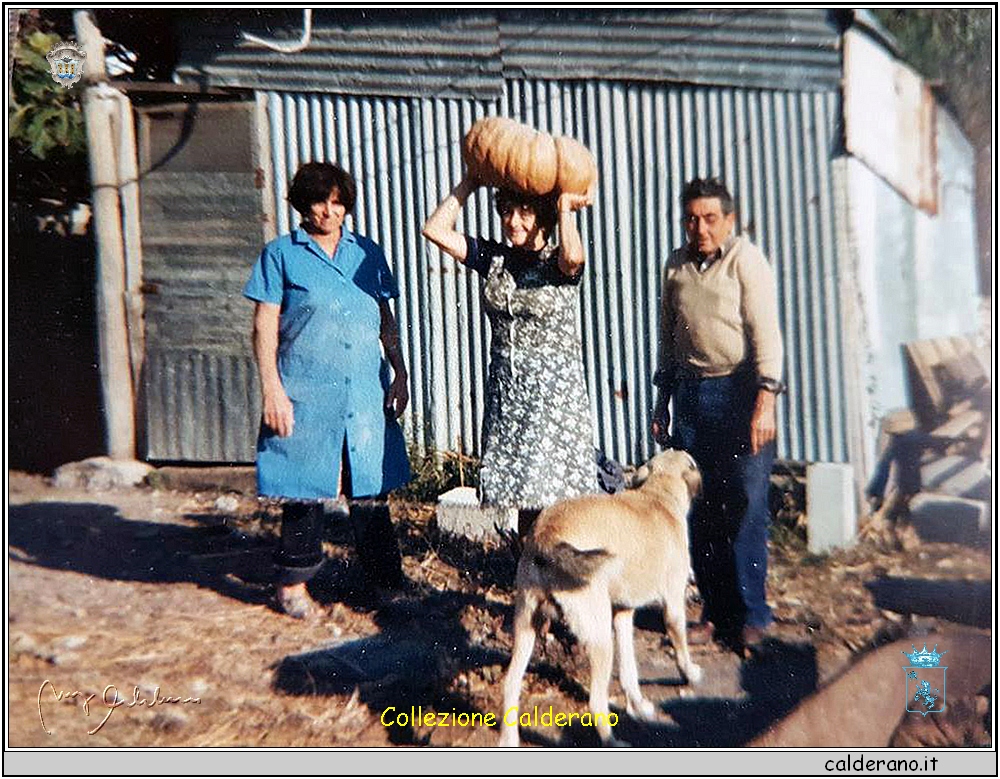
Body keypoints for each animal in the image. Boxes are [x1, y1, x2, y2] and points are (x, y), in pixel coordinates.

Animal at [500, 448, 704, 748]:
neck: (659, 494)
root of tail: (547, 535)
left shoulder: (623, 614)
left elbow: (630, 672)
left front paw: (639, 706)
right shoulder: (673, 606)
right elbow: (680, 649)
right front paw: (689, 674)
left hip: (526, 627)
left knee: (510, 685)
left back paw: (509, 740)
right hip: (599, 639)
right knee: (596, 702)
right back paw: (613, 742)